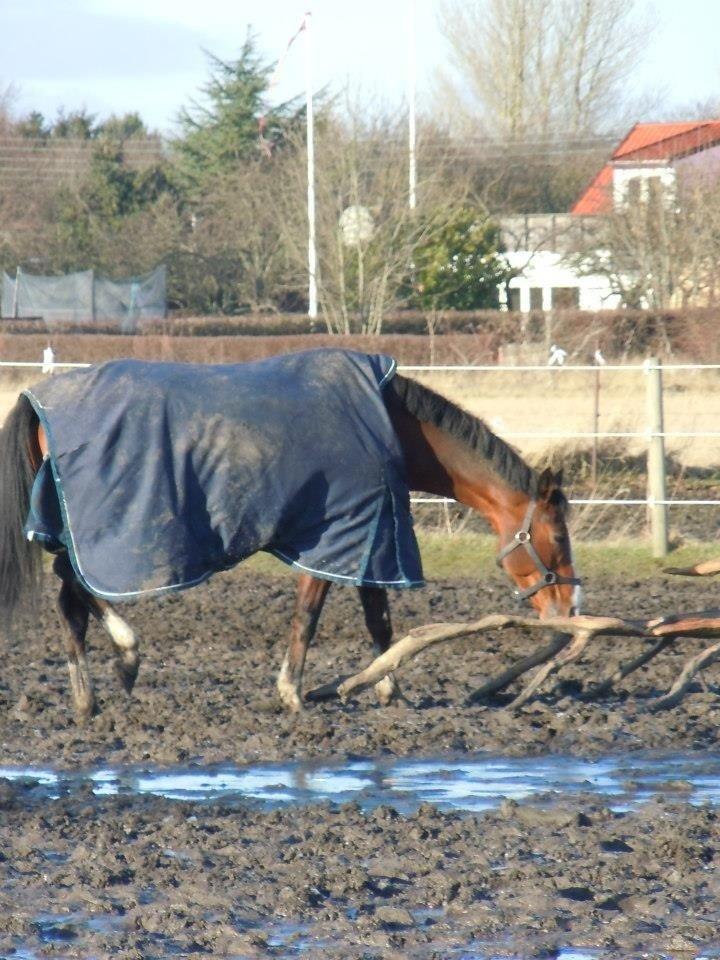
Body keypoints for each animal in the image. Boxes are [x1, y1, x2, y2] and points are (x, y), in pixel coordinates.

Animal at [0, 352, 580, 720]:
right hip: (98, 533)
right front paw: (294, 695)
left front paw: (386, 687)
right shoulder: (332, 537)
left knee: (69, 599)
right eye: (558, 537)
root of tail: (36, 397)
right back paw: (125, 657)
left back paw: (89, 697)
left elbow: (379, 620)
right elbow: (309, 615)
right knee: (77, 588)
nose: (569, 610)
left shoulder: (368, 534)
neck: (389, 424)